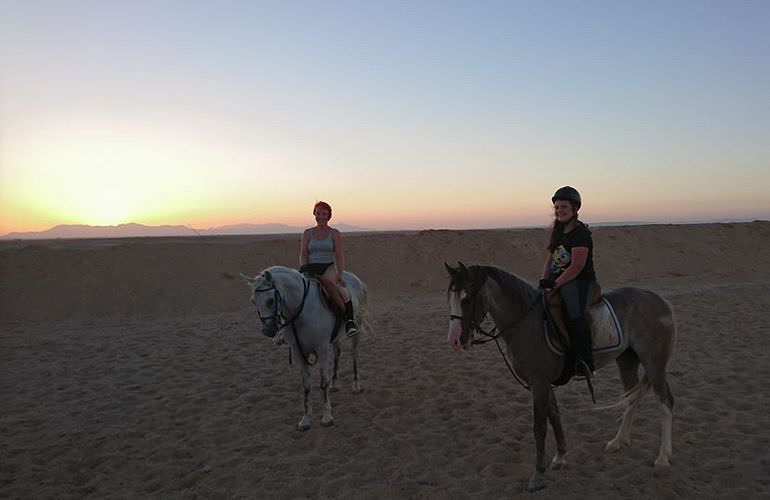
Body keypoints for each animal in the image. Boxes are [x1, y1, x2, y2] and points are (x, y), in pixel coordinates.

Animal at [243, 264, 368, 432]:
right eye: (253, 301)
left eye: (270, 301)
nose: (267, 331)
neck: (301, 313)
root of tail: (354, 278)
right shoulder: (298, 353)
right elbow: (306, 385)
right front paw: (305, 419)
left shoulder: (322, 350)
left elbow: (323, 382)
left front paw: (327, 417)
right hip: (334, 338)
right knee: (338, 352)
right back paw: (335, 384)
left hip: (356, 330)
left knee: (354, 354)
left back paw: (356, 385)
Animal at [440, 264, 676, 490]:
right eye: (450, 298)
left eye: (467, 298)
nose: (454, 340)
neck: (527, 323)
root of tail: (661, 302)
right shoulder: (543, 383)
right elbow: (554, 416)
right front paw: (561, 456)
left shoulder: (539, 382)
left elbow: (540, 426)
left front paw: (538, 475)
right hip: (627, 359)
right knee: (632, 398)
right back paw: (619, 441)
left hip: (654, 362)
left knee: (665, 401)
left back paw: (663, 457)